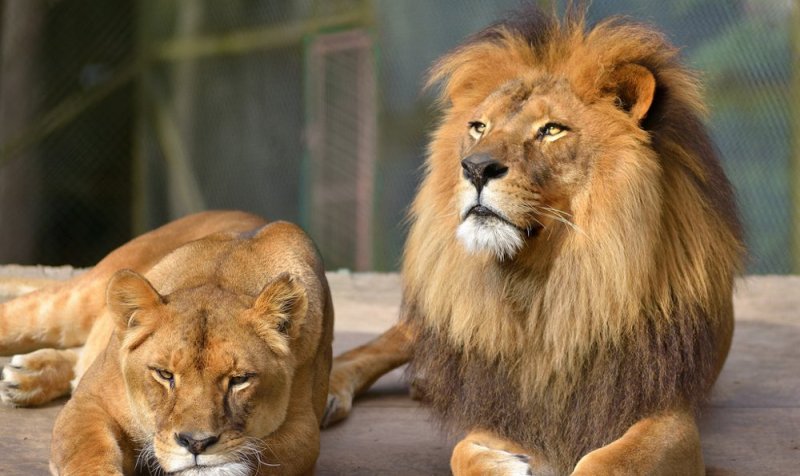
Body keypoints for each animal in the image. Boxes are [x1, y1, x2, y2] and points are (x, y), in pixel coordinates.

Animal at [0, 211, 333, 475]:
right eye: (164, 374)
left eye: (240, 380)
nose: (196, 443)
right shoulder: (89, 402)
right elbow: (89, 456)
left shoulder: (304, 431)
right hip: (74, 301)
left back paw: (25, 377)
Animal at [325, 6, 744, 476]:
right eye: (478, 127)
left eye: (552, 130)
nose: (475, 167)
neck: (540, 282)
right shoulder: (506, 400)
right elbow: (462, 450)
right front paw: (508, 464)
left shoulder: (666, 410)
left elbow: (608, 463)